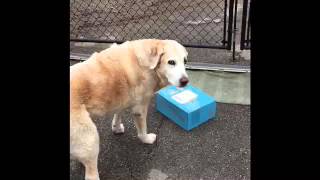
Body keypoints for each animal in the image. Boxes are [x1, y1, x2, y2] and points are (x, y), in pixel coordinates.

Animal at [69, 38, 189, 179]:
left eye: (185, 61)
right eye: (171, 62)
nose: (185, 81)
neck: (147, 63)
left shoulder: (122, 98)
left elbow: (118, 113)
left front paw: (116, 128)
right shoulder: (140, 108)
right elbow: (142, 131)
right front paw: (147, 139)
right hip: (90, 139)